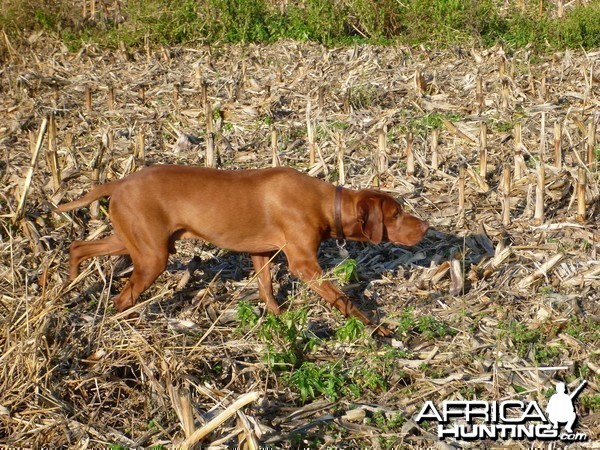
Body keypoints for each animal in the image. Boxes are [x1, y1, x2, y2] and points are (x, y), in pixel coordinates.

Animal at [56, 164, 428, 334]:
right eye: (396, 214)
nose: (425, 227)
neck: (326, 204)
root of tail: (121, 181)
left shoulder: (261, 253)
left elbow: (266, 288)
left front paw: (280, 320)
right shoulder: (305, 266)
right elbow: (344, 300)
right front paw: (378, 329)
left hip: (132, 240)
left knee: (78, 246)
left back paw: (69, 283)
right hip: (152, 256)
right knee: (122, 298)